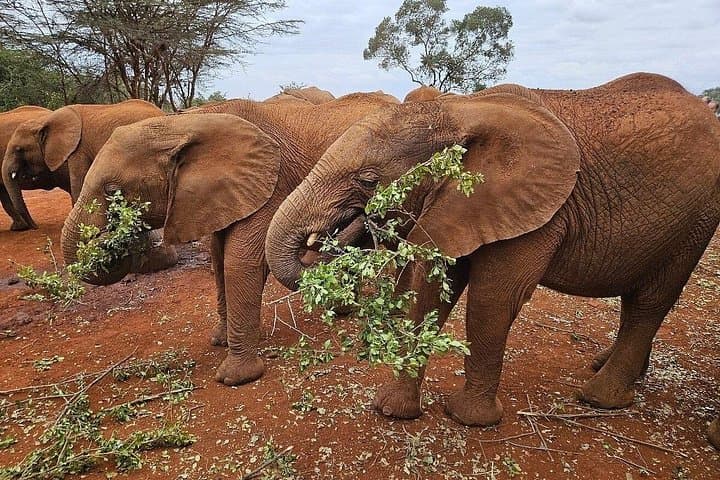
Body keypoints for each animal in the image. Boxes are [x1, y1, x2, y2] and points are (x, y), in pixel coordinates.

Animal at [59, 92, 400, 386]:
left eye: (113, 192)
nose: (113, 238)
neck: (183, 124)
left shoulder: (268, 184)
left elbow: (240, 262)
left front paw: (235, 378)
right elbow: (218, 258)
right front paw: (219, 340)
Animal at [264, 72, 720, 438]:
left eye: (369, 180)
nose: (358, 222)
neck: (461, 110)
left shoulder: (536, 210)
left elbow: (492, 299)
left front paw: (468, 418)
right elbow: (430, 290)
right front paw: (393, 410)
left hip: (697, 218)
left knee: (650, 301)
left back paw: (599, 398)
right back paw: (609, 369)